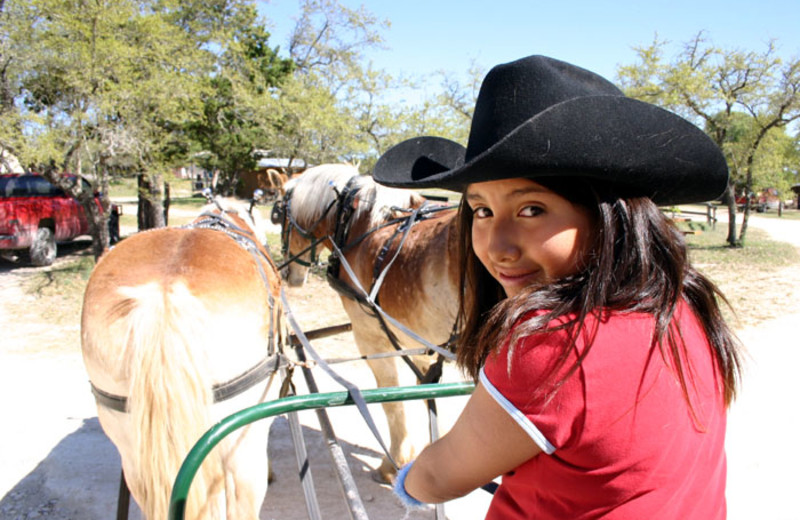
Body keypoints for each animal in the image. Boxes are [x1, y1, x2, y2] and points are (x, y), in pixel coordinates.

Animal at [276, 164, 462, 484]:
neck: (361, 224)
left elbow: (391, 399)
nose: (289, 275)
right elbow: (427, 392)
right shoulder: (418, 340)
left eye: (280, 217)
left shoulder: (370, 336)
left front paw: (393, 463)